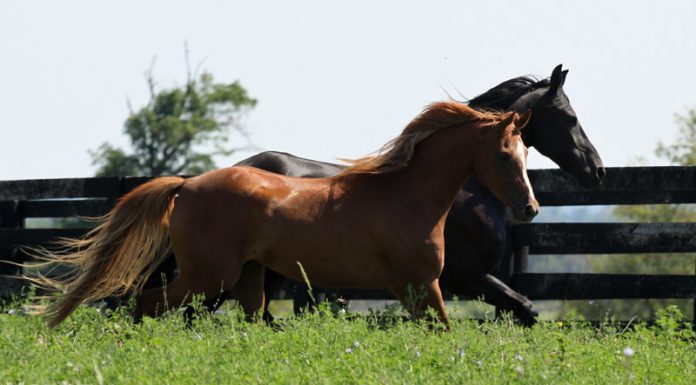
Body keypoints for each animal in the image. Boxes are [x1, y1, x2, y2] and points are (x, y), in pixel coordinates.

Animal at [29, 100, 536, 326]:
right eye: (505, 155)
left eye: (526, 153)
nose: (529, 208)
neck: (406, 196)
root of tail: (188, 185)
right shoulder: (426, 283)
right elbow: (445, 330)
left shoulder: (412, 289)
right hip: (208, 277)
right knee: (149, 303)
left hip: (247, 280)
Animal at [148, 63, 604, 324]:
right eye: (569, 116)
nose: (596, 170)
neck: (464, 191)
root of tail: (193, 184)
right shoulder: (465, 276)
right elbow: (525, 309)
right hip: (226, 273)